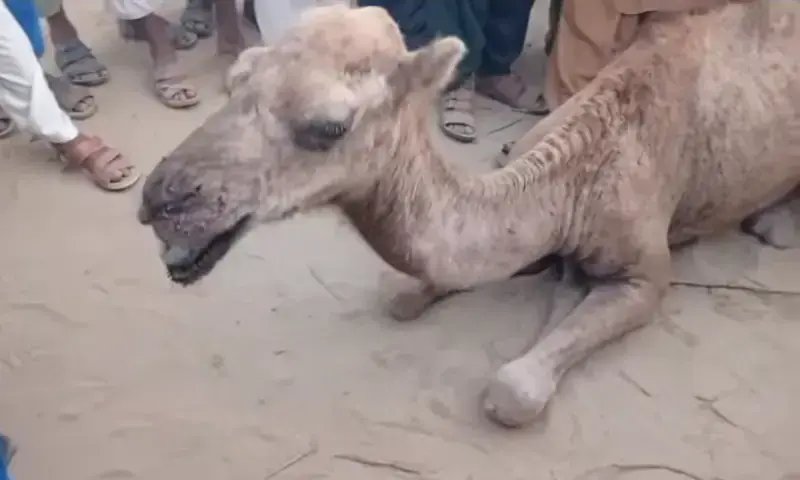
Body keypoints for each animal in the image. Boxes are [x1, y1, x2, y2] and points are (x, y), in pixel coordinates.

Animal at [138, 2, 800, 427]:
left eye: (328, 126)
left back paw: (774, 224)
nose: (160, 200)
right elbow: (409, 292)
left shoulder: (646, 270)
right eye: (237, 78)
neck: (571, 184)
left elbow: (513, 389)